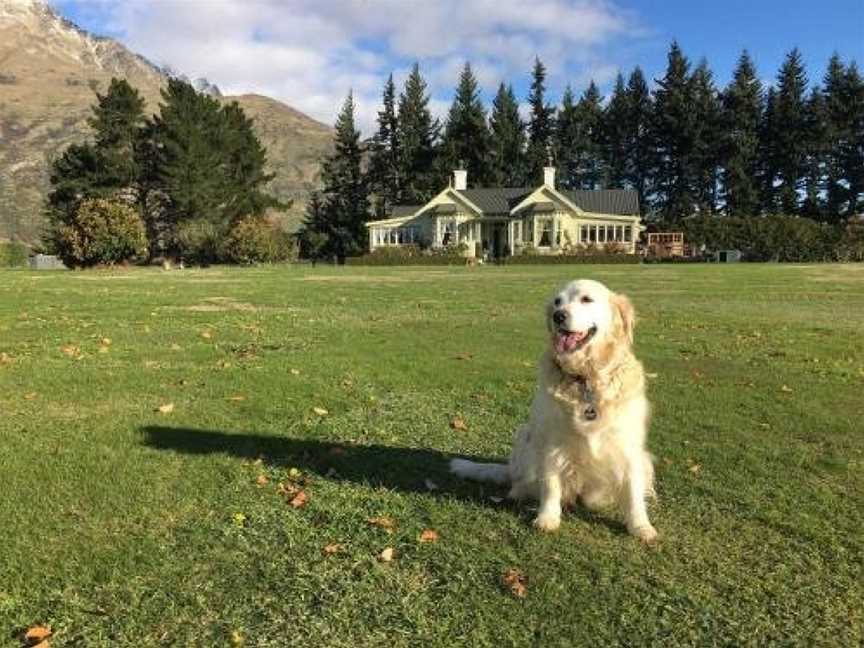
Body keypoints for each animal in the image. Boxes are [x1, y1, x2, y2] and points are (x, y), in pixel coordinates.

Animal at [448, 278, 660, 540]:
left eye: (586, 299)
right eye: (557, 301)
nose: (558, 316)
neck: (585, 379)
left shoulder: (629, 446)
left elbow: (632, 492)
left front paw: (640, 526)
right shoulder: (550, 441)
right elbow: (550, 484)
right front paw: (547, 518)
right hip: (525, 437)